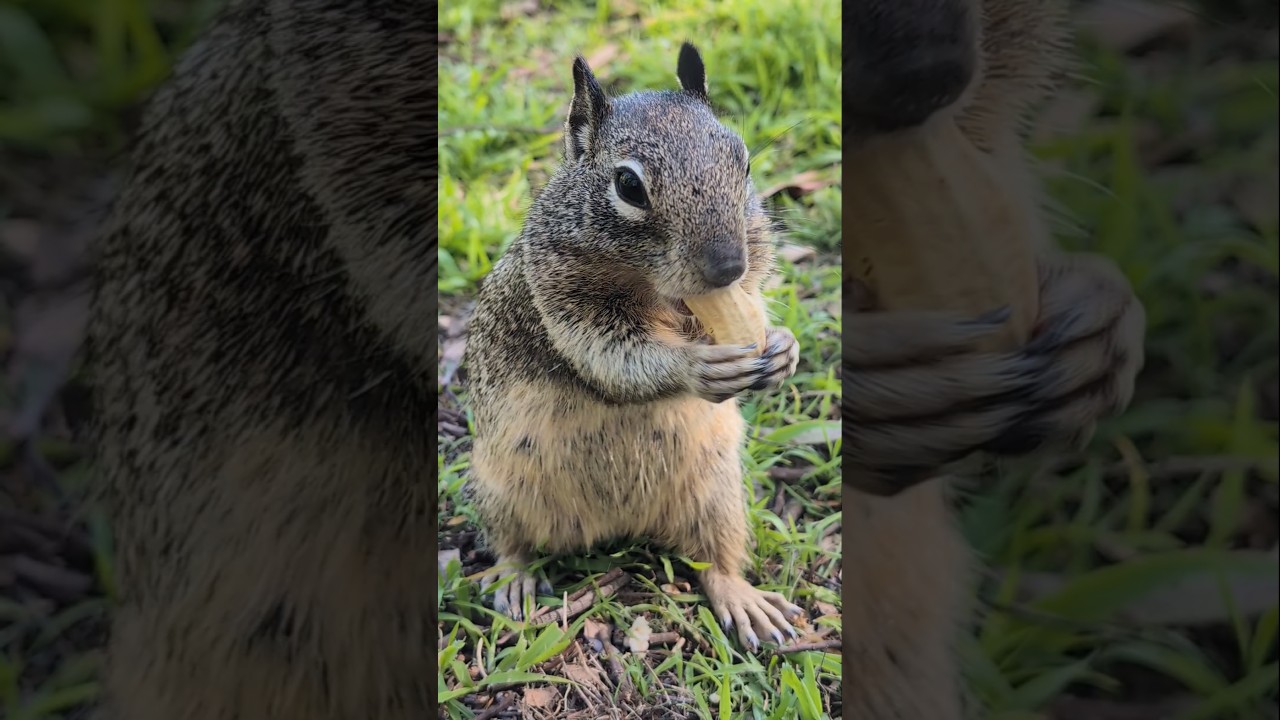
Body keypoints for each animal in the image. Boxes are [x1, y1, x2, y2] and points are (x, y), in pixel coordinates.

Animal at [463, 43, 806, 651]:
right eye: (628, 186)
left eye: (743, 161)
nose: (728, 266)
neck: (652, 288)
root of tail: (614, 527)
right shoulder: (559, 301)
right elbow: (610, 355)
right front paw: (694, 368)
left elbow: (753, 299)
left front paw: (783, 347)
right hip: (499, 488)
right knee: (511, 542)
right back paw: (514, 576)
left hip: (718, 494)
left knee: (716, 562)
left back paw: (743, 599)